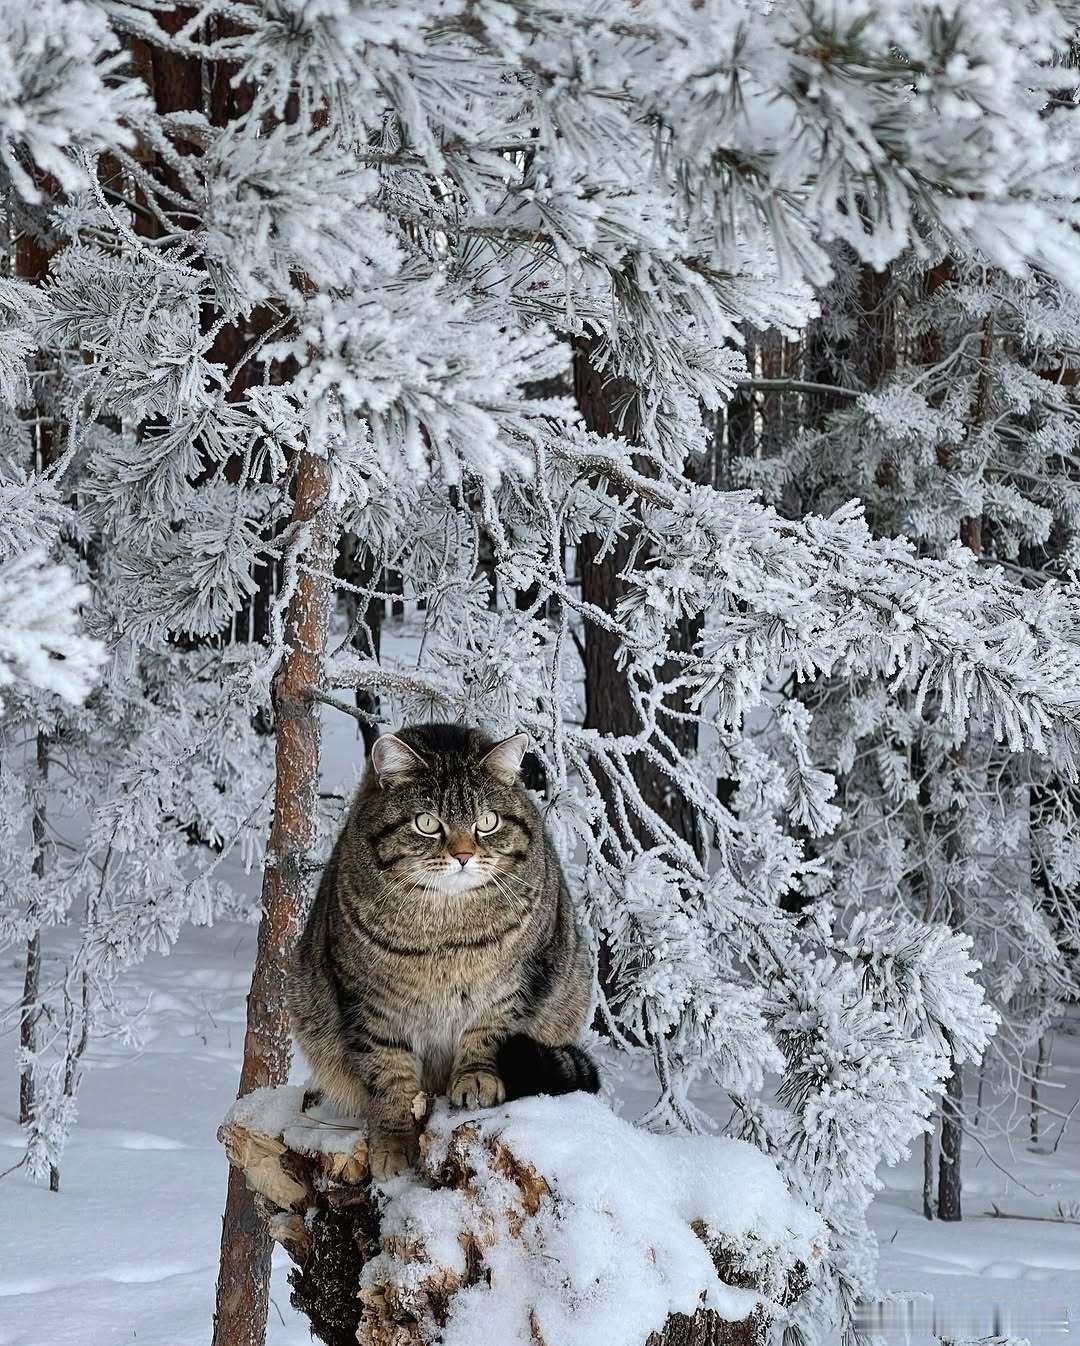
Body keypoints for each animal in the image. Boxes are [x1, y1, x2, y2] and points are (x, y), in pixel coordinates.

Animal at [284, 721, 597, 1173]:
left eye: (487, 821)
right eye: (428, 823)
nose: (463, 855)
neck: (445, 932)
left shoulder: (512, 984)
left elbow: (488, 1032)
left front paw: (476, 1077)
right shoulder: (368, 1002)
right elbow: (388, 1072)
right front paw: (394, 1140)